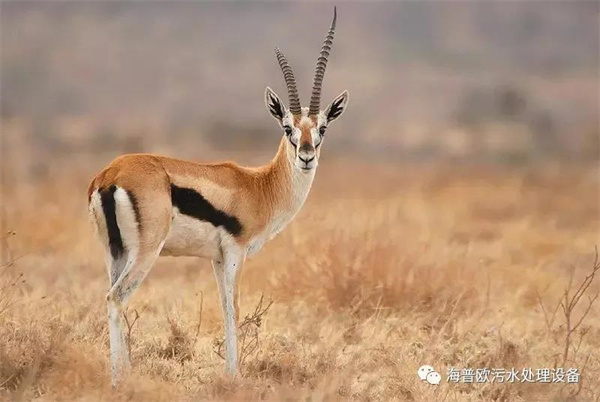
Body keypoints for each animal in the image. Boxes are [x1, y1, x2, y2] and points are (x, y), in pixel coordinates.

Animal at [88, 7, 348, 385]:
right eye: (287, 128)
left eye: (321, 129)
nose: (306, 156)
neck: (260, 186)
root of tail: (111, 175)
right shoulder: (236, 252)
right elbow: (233, 308)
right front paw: (234, 376)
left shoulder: (216, 258)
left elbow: (223, 306)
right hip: (146, 253)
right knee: (115, 297)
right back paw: (118, 380)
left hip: (114, 252)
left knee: (113, 296)